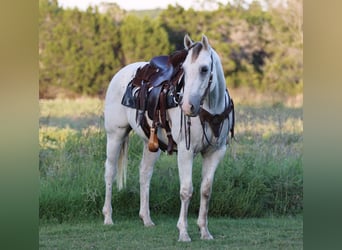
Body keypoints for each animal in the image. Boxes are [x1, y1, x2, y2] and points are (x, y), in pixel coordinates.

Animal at [103, 34, 234, 241]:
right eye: (184, 70)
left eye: (204, 69)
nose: (188, 106)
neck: (210, 111)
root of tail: (121, 73)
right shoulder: (186, 152)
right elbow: (186, 190)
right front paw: (183, 232)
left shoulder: (215, 152)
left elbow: (206, 191)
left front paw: (204, 231)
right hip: (115, 135)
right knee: (110, 171)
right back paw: (108, 217)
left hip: (151, 143)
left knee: (145, 173)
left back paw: (146, 219)